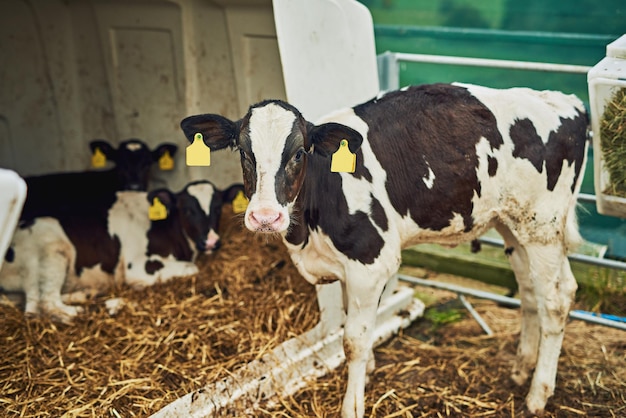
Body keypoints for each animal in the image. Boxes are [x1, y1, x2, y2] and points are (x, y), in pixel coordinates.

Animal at [0, 180, 241, 324]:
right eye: (188, 210)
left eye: (218, 208)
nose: (211, 241)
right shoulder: (138, 266)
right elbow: (192, 268)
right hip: (52, 251)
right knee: (44, 303)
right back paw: (97, 308)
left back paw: (87, 295)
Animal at [179, 82, 584, 418]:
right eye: (244, 153)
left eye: (298, 153)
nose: (265, 216)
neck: (309, 228)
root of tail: (564, 100)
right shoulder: (345, 269)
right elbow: (354, 323)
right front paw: (369, 371)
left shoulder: (368, 259)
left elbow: (353, 340)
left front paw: (353, 404)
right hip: (513, 224)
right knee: (530, 291)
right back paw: (520, 369)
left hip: (543, 226)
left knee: (557, 298)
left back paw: (538, 393)